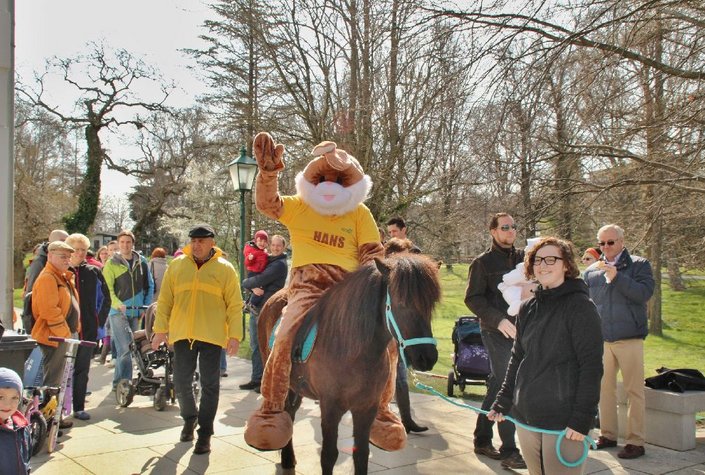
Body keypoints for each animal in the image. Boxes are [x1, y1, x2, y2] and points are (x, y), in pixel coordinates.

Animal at [253, 255, 440, 474]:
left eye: (431, 304)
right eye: (401, 303)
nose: (427, 357)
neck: (351, 349)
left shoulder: (367, 408)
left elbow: (361, 454)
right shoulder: (330, 407)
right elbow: (328, 456)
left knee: (290, 413)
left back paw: (288, 458)